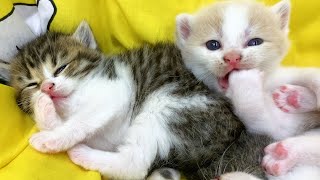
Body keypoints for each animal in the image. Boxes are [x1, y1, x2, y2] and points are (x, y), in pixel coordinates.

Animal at [10, 21, 245, 179]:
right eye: (32, 84)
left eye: (61, 68)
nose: (47, 88)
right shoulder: (106, 136)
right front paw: (43, 110)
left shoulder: (115, 89)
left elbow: (83, 119)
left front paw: (50, 138)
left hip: (170, 105)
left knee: (134, 164)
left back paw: (80, 153)